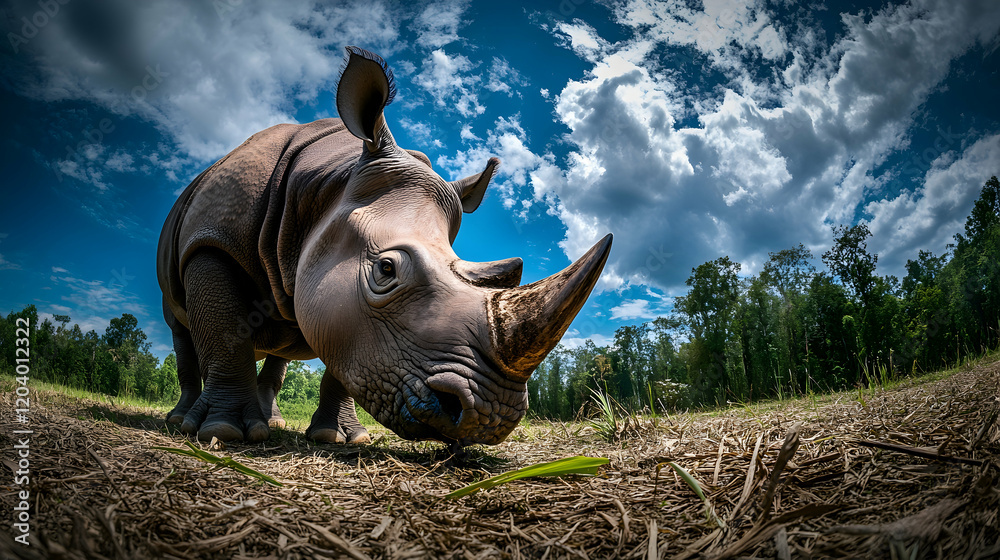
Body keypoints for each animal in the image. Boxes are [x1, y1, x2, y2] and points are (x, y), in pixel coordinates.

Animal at [156, 47, 612, 447]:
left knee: (278, 349)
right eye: (386, 270)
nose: (488, 416)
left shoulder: (340, 297)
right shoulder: (212, 242)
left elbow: (344, 357)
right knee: (181, 331)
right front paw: (223, 432)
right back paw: (182, 420)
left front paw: (339, 437)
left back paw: (271, 422)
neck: (327, 183)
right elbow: (225, 334)